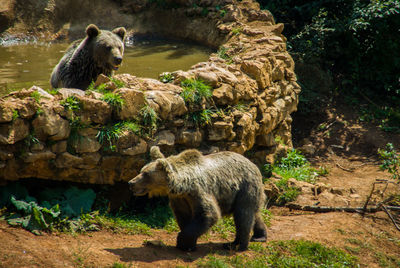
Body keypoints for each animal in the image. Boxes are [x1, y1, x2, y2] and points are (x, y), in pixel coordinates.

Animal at [128, 146, 268, 250]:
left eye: (146, 174)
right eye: (141, 170)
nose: (131, 183)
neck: (182, 187)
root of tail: (252, 163)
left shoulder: (198, 193)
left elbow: (208, 214)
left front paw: (182, 242)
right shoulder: (180, 199)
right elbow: (183, 217)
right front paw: (189, 245)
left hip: (245, 186)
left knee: (243, 215)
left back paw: (238, 245)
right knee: (253, 214)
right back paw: (258, 236)